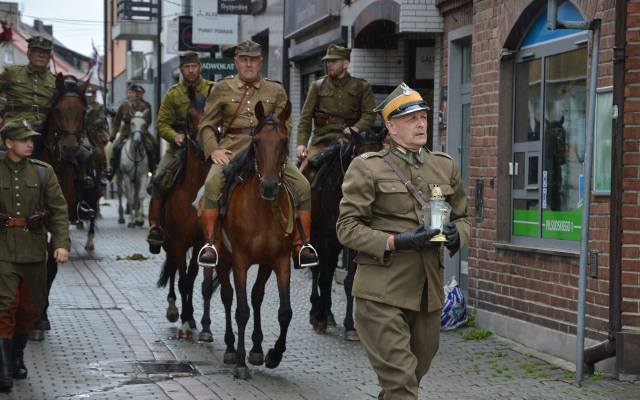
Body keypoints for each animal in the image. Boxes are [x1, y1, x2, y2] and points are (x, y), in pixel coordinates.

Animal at [209, 101, 294, 380]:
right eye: (256, 141)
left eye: (284, 140)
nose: (269, 186)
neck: (263, 210)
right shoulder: (240, 261)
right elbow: (241, 310)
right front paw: (240, 363)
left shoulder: (279, 261)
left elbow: (284, 311)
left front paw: (273, 355)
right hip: (223, 259)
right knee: (227, 297)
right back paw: (230, 348)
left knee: (256, 296)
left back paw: (255, 348)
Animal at [304, 128, 384, 338]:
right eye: (358, 157)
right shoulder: (327, 237)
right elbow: (323, 278)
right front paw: (319, 319)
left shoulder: (357, 240)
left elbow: (350, 281)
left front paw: (350, 326)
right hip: (317, 235)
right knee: (318, 271)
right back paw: (316, 311)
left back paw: (329, 313)